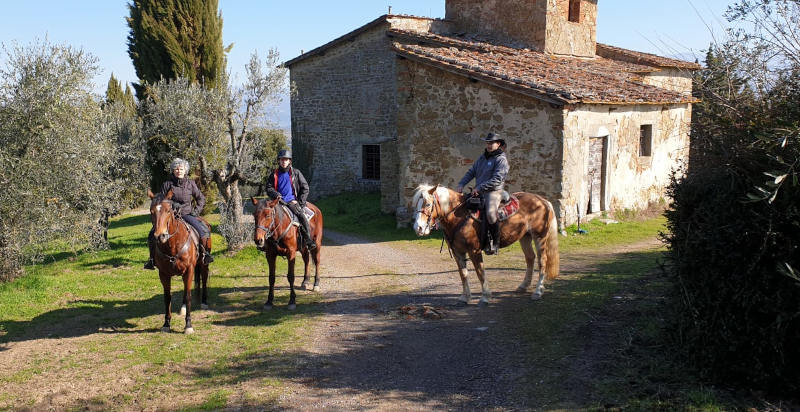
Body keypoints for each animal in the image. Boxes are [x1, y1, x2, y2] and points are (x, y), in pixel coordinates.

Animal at [148, 189, 210, 334]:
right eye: (151, 211)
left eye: (168, 210)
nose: (160, 236)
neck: (172, 245)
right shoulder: (163, 274)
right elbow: (167, 297)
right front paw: (166, 324)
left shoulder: (189, 270)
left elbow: (188, 296)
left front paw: (188, 325)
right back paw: (183, 308)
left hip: (203, 264)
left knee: (204, 279)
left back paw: (204, 302)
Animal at [411, 184, 559, 305]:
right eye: (416, 205)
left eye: (428, 204)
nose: (418, 228)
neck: (459, 216)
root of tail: (543, 201)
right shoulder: (458, 251)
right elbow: (463, 274)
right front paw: (465, 297)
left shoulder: (474, 251)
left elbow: (480, 272)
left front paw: (485, 297)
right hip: (525, 237)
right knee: (530, 258)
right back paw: (523, 286)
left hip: (539, 237)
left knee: (542, 261)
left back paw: (538, 291)